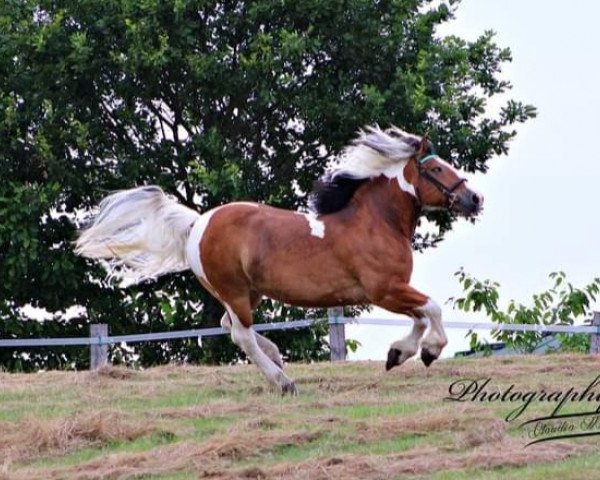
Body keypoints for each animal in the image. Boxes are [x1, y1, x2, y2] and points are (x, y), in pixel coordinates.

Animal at [77, 125, 486, 396]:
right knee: (241, 333)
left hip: (246, 292)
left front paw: (398, 354)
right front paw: (428, 352)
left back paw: (276, 357)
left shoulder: (394, 290)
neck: (375, 222)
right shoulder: (384, 290)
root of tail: (197, 224)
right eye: (437, 169)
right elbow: (431, 310)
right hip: (235, 289)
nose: (475, 199)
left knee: (230, 327)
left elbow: (421, 317)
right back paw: (283, 381)